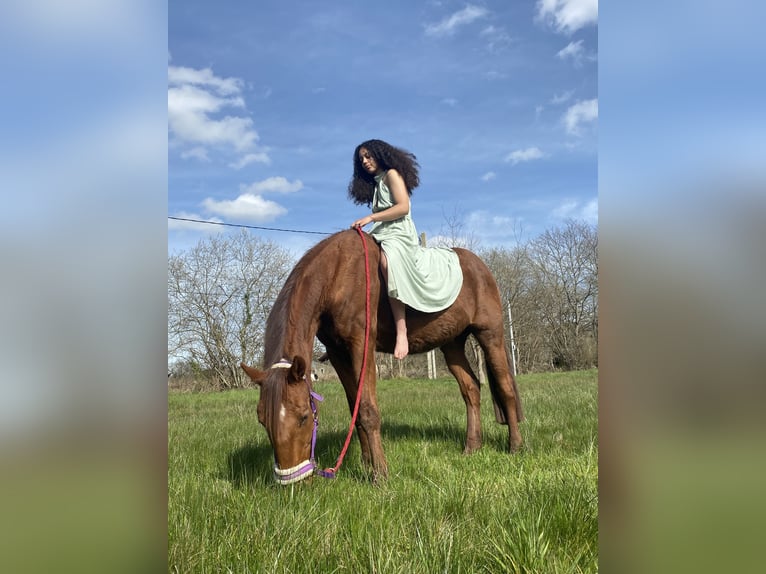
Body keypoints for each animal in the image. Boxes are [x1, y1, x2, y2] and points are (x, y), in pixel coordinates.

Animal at [243, 227, 524, 484]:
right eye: (261, 419)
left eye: (303, 417)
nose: (294, 484)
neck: (336, 274)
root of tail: (480, 266)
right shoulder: (338, 353)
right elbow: (355, 409)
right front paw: (367, 464)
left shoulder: (361, 345)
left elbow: (367, 410)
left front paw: (380, 475)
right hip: (452, 344)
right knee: (471, 389)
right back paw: (472, 447)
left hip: (490, 335)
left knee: (506, 388)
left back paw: (516, 446)